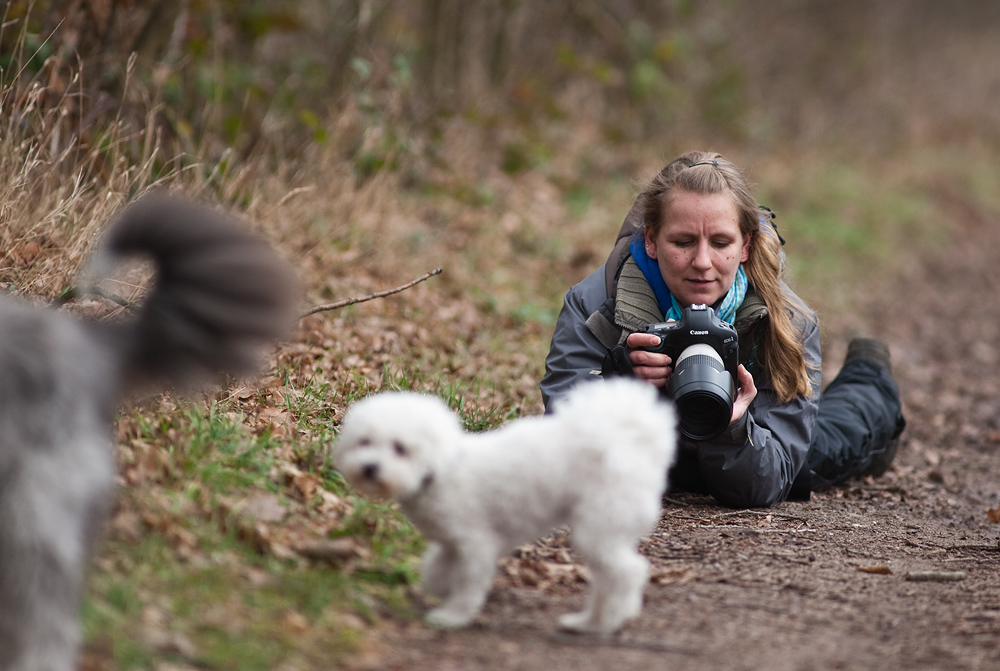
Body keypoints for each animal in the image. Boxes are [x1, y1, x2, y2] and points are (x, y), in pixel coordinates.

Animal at [338, 378, 680, 636]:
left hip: (599, 527)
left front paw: (453, 616)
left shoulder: (476, 543)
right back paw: (590, 621)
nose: (369, 467)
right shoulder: (453, 544)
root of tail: (630, 441)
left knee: (627, 573)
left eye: (400, 448)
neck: (442, 467)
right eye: (364, 442)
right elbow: (434, 568)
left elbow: (470, 583)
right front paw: (441, 589)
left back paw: (604, 623)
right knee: (615, 575)